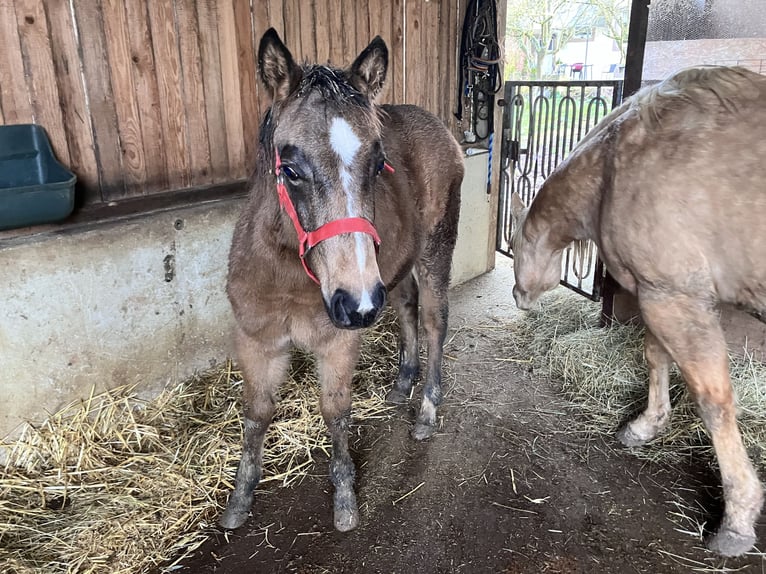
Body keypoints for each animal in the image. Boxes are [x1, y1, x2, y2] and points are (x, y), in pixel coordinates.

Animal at [220, 29, 463, 533]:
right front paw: (239, 499)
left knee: (434, 321)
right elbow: (256, 413)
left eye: (377, 164)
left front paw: (346, 499)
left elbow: (334, 410)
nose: (359, 304)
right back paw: (402, 383)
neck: (287, 274)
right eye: (290, 169)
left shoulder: (337, 342)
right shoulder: (256, 341)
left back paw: (427, 410)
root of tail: (441, 126)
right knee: (407, 309)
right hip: (395, 270)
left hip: (432, 251)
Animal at [510, 65, 766, 557]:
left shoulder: (675, 297)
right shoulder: (659, 294)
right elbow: (655, 358)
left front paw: (737, 521)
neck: (613, 169)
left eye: (514, 247)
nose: (517, 295)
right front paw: (646, 426)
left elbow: (713, 400)